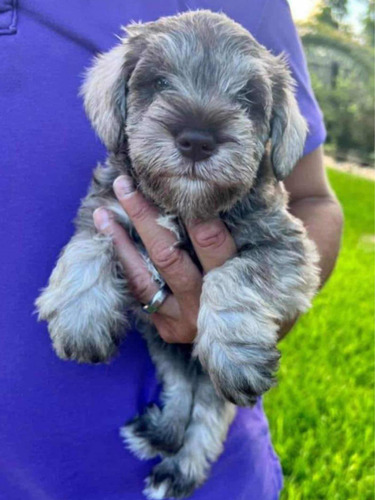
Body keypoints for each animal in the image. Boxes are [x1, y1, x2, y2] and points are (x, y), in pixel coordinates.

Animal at [36, 9, 320, 498]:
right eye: (159, 82)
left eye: (248, 98)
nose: (197, 140)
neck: (181, 207)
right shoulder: (106, 207)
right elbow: (88, 244)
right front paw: (80, 317)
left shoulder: (291, 253)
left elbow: (232, 275)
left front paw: (233, 346)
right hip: (165, 348)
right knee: (181, 388)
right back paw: (162, 433)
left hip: (206, 375)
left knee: (209, 414)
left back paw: (178, 469)